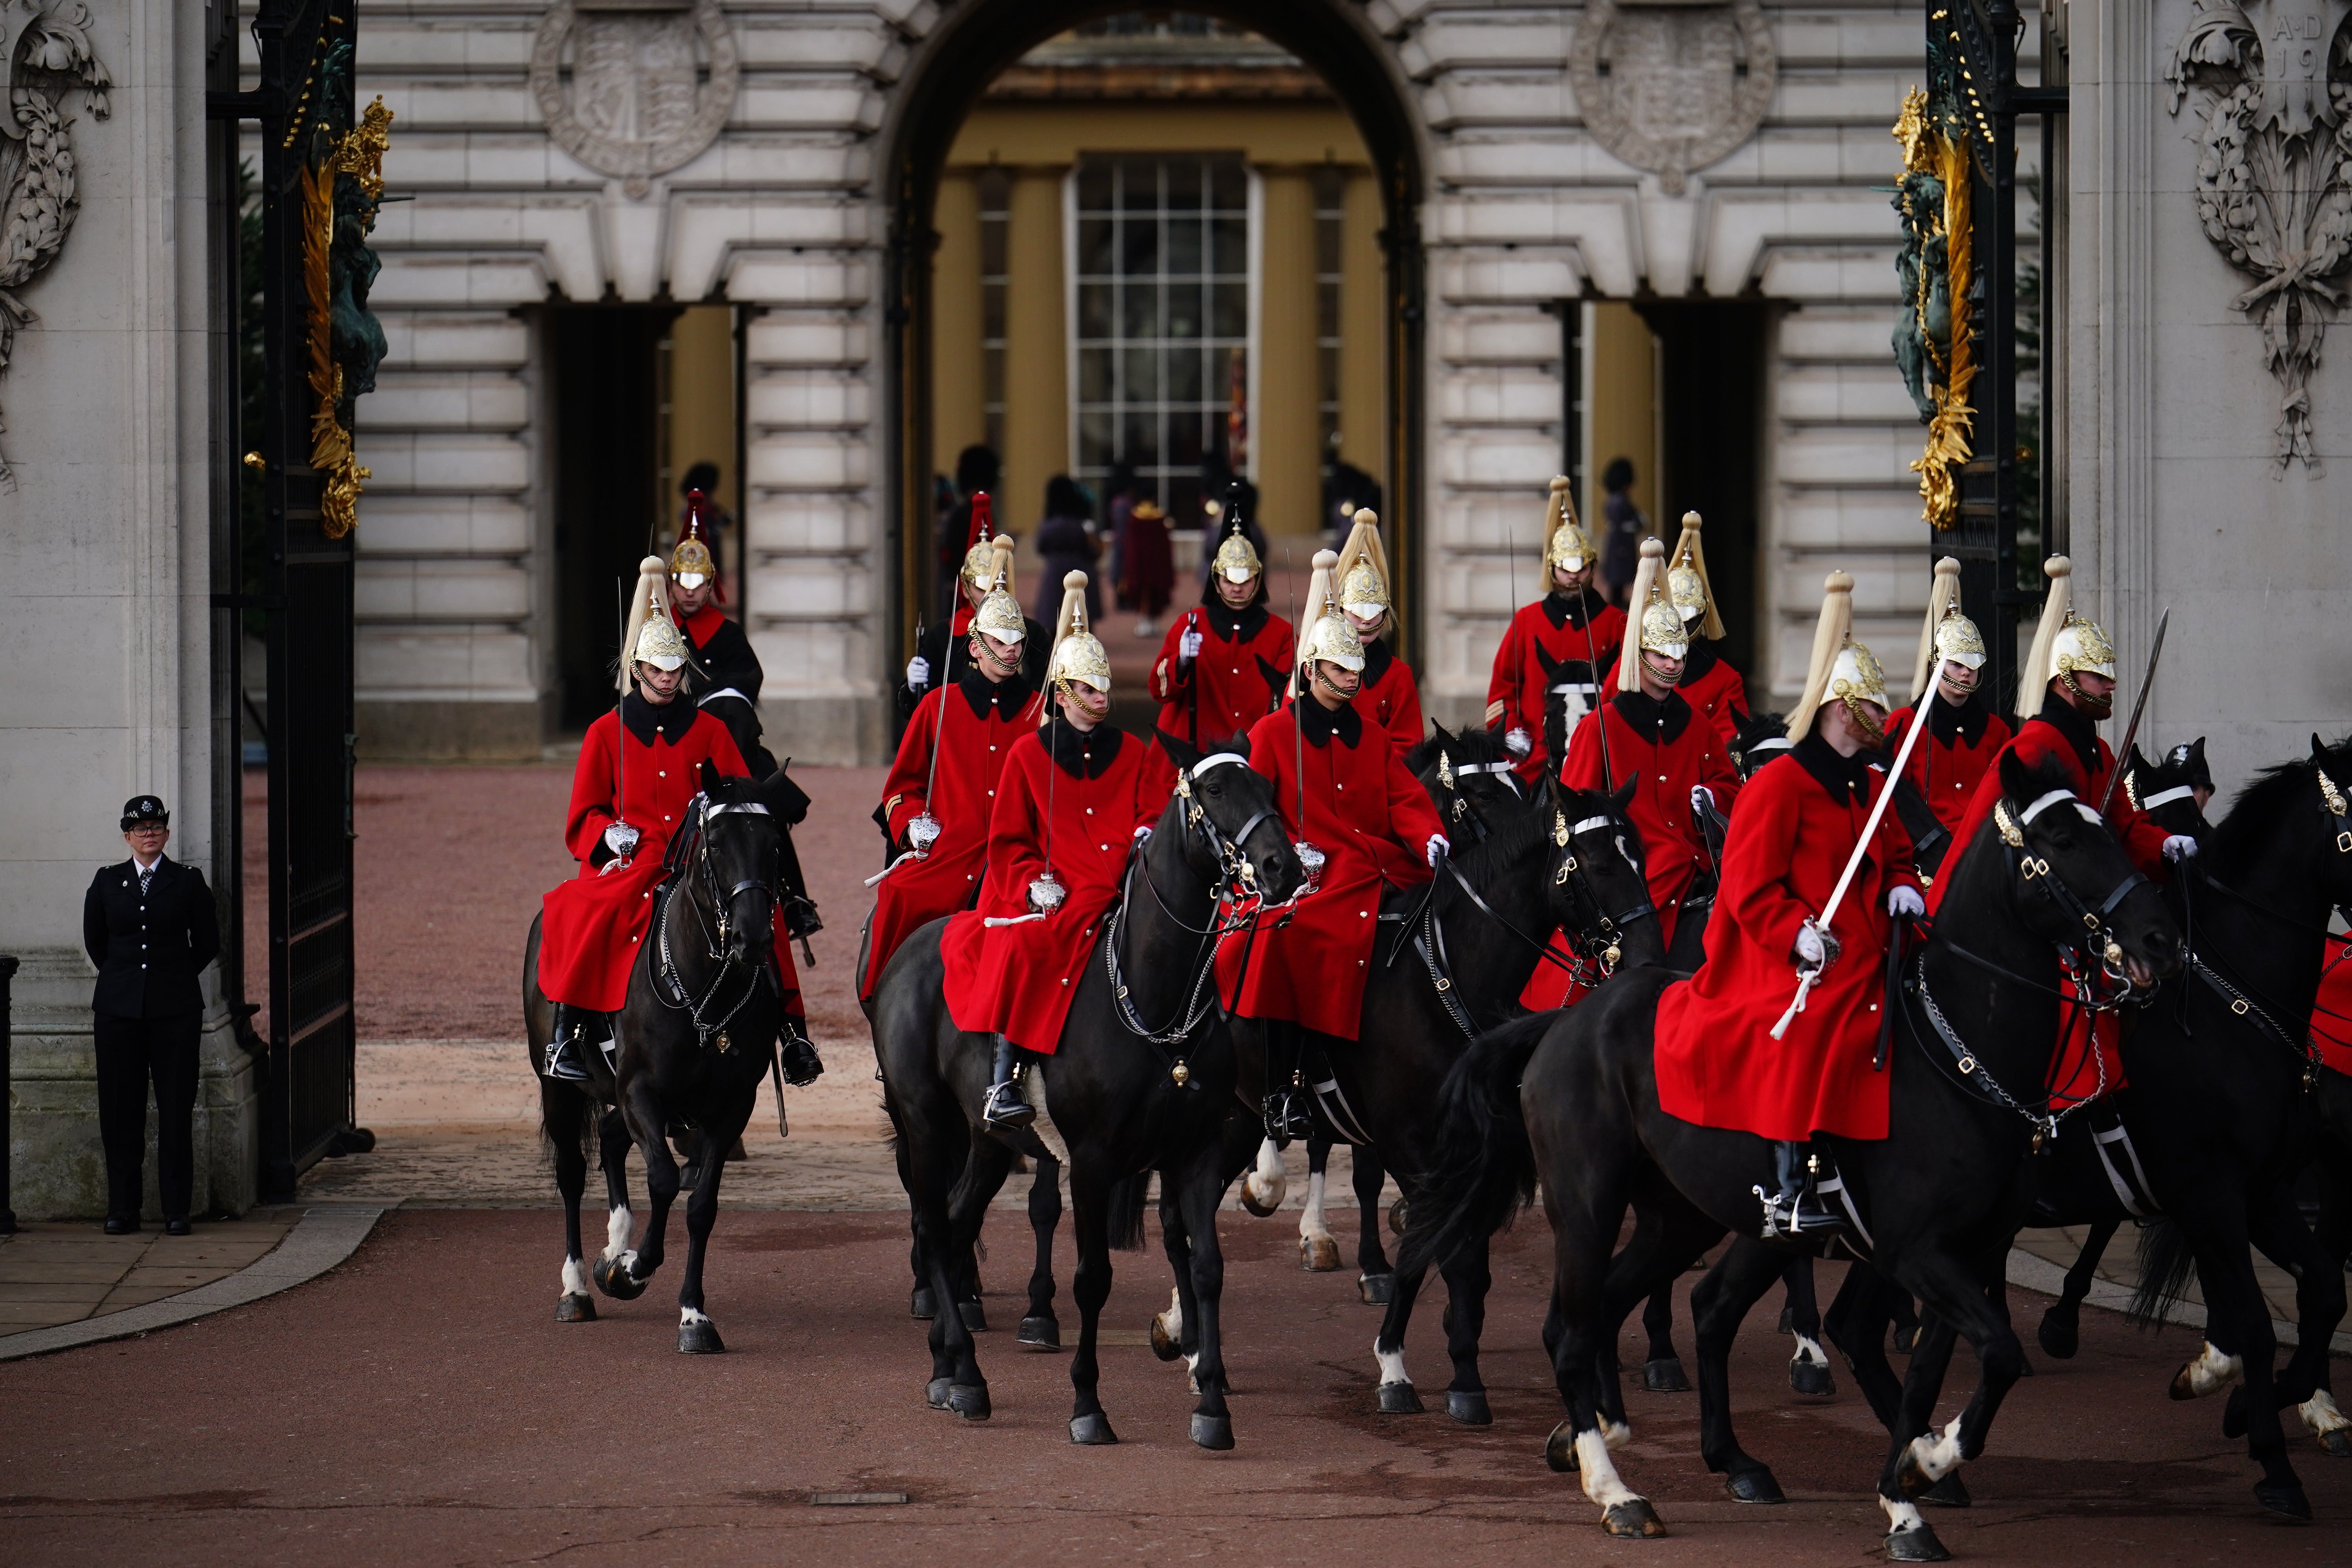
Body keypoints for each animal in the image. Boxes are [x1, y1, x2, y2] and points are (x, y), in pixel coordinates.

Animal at [522, 766, 800, 1354]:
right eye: (715, 843)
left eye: (774, 844)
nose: (754, 937)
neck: (704, 986)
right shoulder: (641, 1093)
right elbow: (667, 1180)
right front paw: (631, 1269)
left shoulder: (729, 1108)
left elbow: (701, 1207)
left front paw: (694, 1315)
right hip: (559, 1088)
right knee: (572, 1172)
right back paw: (577, 1287)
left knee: (608, 1141)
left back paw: (614, 1243)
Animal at [875, 738, 1308, 1448]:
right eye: (1215, 792)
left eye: (1271, 788)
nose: (1283, 866)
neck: (1155, 997)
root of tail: (912, 946)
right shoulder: (1093, 1163)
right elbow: (1092, 1280)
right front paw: (1088, 1405)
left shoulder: (1195, 1156)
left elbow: (1208, 1267)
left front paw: (1213, 1405)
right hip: (928, 1121)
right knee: (933, 1226)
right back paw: (966, 1371)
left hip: (990, 1140)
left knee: (957, 1222)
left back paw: (951, 1368)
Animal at [1402, 752, 2173, 1561]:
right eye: (2063, 839)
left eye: (2108, 828)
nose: (2160, 938)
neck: (1958, 1061)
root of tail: (1566, 1019)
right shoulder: (1918, 1252)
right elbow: (1992, 1352)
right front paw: (1918, 1477)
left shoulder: (1968, 1253)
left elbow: (1952, 1367)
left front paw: (1913, 1481)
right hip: (1588, 1206)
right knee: (1572, 1330)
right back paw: (1616, 1490)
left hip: (1682, 1219)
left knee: (1639, 1307)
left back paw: (1672, 1451)